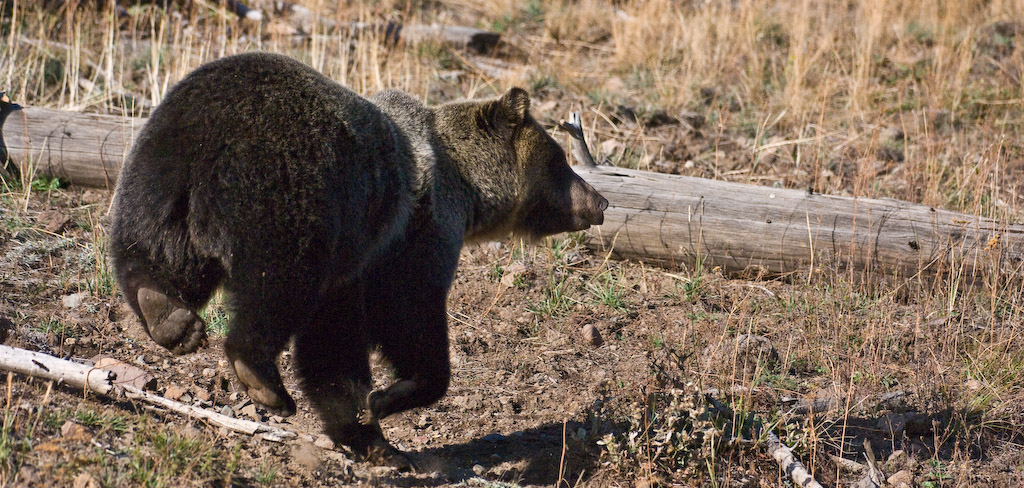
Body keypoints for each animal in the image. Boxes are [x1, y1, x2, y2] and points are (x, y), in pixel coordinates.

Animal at [110, 52, 606, 464]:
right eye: (559, 161)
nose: (599, 201)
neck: (466, 188)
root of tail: (210, 133)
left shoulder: (352, 267)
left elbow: (331, 350)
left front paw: (370, 435)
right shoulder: (410, 239)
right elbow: (410, 315)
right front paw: (388, 402)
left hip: (159, 177)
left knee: (149, 255)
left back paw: (167, 315)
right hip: (290, 195)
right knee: (277, 286)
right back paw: (261, 378)